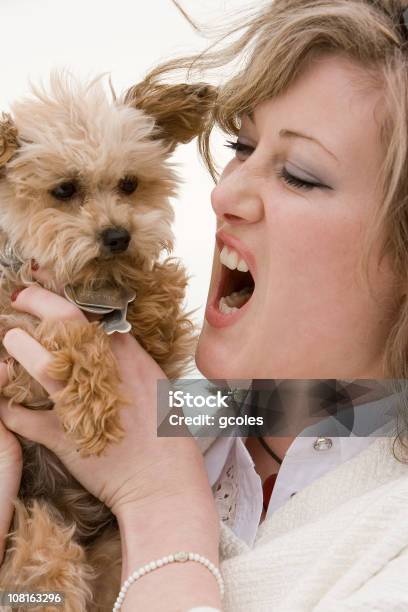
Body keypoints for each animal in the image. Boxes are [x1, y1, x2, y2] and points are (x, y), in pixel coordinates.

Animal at [0, 73, 217, 612]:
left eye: (129, 184)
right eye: (64, 190)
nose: (119, 236)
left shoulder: (160, 345)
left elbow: (161, 292)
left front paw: (139, 288)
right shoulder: (11, 363)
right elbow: (62, 331)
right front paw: (93, 406)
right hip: (41, 534)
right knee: (43, 559)